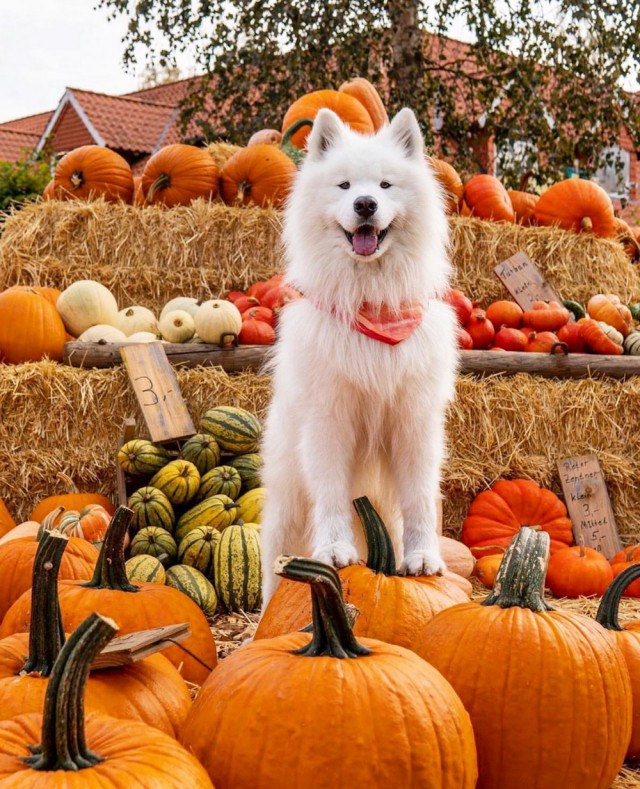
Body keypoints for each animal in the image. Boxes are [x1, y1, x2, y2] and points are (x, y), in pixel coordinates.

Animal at [260, 106, 460, 604]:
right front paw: (334, 551)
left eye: (386, 186)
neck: (372, 303)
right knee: (274, 555)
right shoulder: (328, 420)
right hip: (287, 497)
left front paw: (422, 559)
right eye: (345, 186)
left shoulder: (414, 423)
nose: (365, 205)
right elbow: (330, 493)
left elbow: (419, 499)